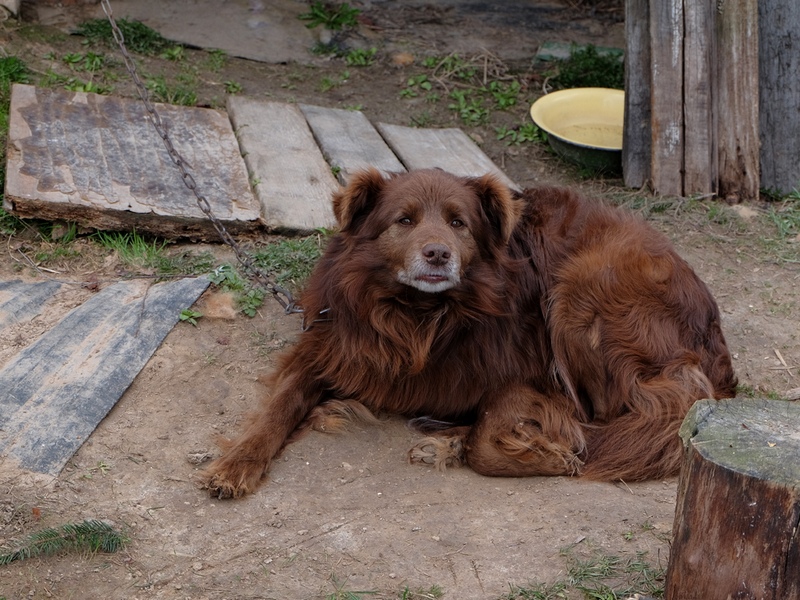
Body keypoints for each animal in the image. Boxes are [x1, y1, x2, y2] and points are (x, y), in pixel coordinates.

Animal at [205, 168, 736, 496]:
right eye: (404, 220)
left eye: (459, 223)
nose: (438, 254)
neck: (419, 317)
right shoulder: (330, 344)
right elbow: (280, 405)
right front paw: (237, 463)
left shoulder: (534, 382)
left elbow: (500, 437)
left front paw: (546, 452)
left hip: (581, 291)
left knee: (602, 419)